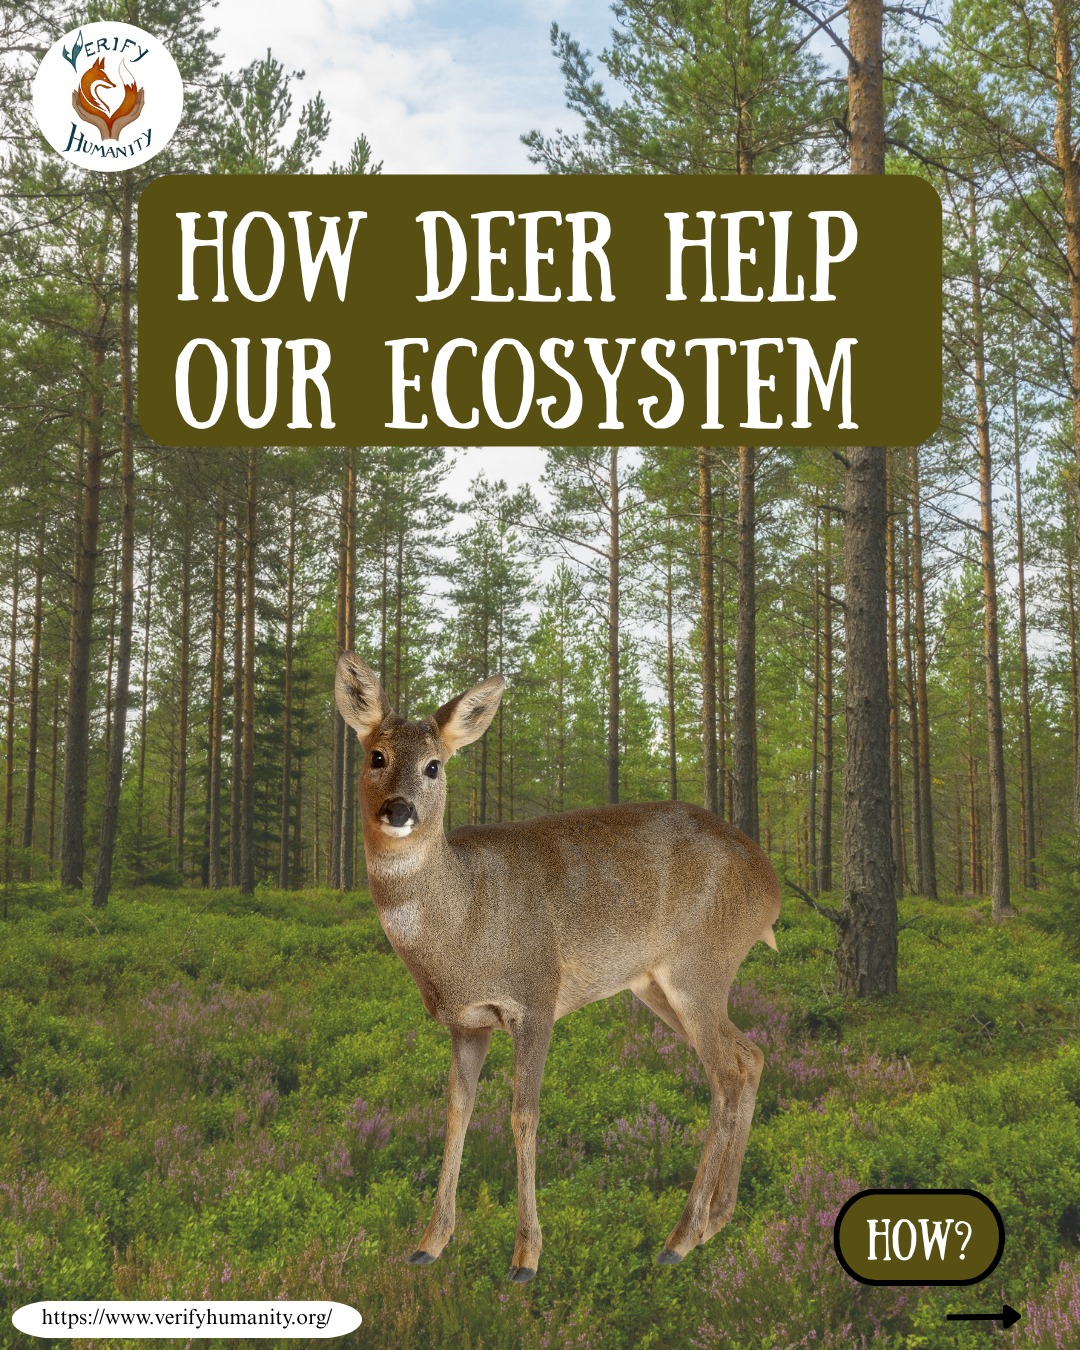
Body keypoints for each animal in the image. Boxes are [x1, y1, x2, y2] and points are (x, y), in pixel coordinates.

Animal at [335, 651, 781, 1283]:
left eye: (433, 766)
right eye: (377, 755)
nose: (399, 810)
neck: (463, 922)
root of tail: (772, 889)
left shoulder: (535, 996)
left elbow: (524, 1116)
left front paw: (526, 1257)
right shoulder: (466, 1022)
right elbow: (455, 1111)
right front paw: (429, 1243)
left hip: (700, 967)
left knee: (724, 1076)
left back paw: (680, 1237)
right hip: (661, 985)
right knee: (750, 1057)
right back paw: (717, 1220)